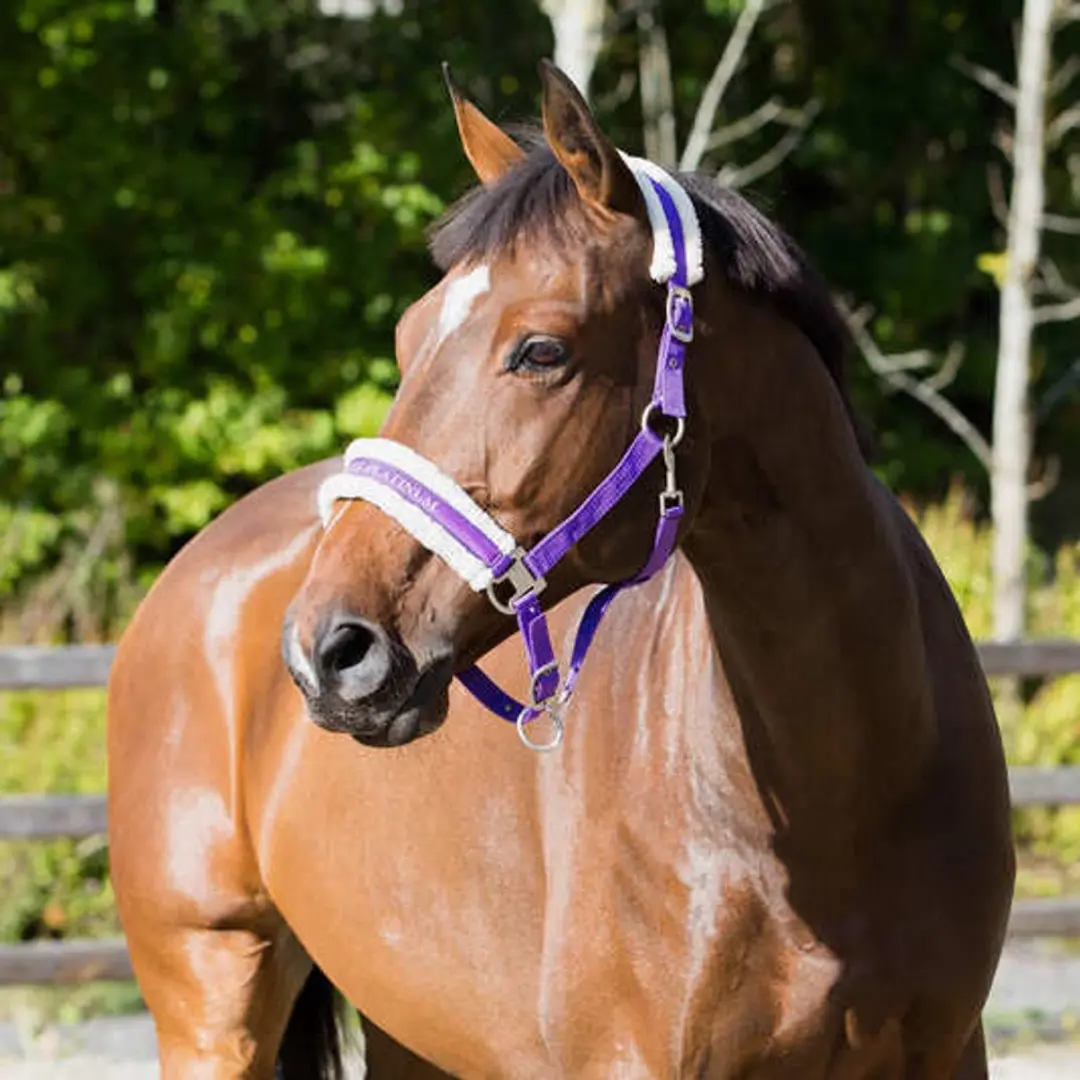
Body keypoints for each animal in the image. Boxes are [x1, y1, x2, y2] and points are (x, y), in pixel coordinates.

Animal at [106, 60, 1015, 1079]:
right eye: (407, 338)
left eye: (542, 350)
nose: (328, 651)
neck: (838, 799)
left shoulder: (950, 1050)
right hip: (212, 1004)